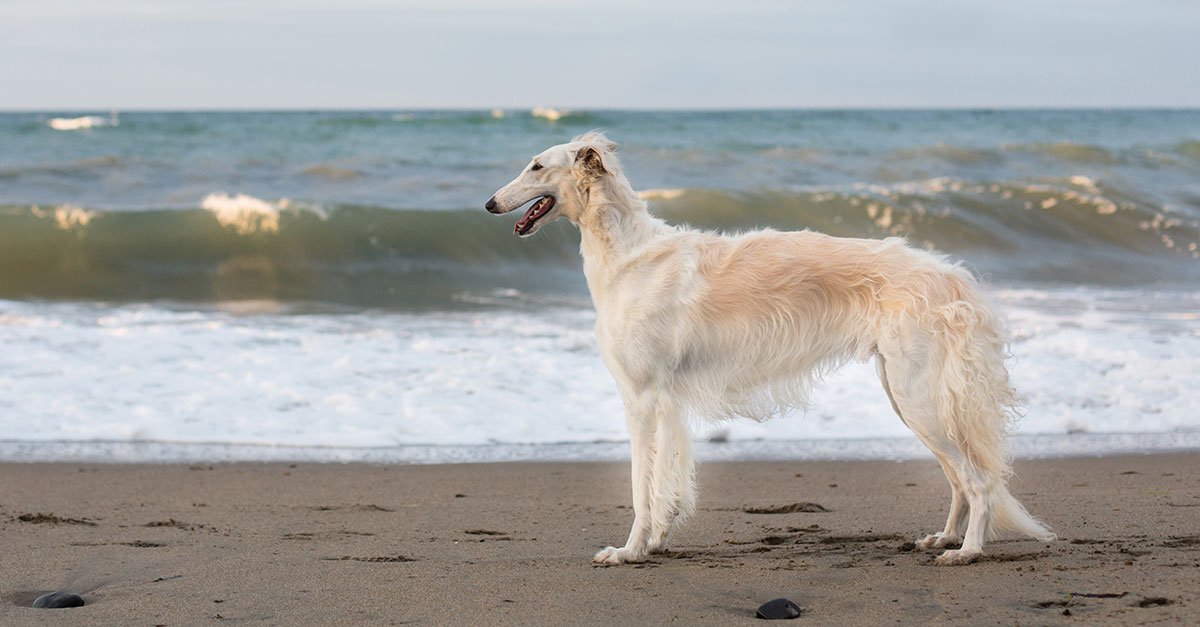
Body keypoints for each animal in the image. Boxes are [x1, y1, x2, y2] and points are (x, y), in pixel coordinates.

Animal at [484, 130, 1051, 562]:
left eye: (536, 165)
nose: (489, 203)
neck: (629, 257)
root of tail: (951, 275)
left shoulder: (641, 398)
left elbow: (641, 489)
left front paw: (628, 551)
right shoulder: (667, 403)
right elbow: (667, 482)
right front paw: (655, 543)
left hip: (917, 397)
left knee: (978, 481)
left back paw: (968, 551)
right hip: (908, 395)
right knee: (959, 477)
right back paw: (947, 537)